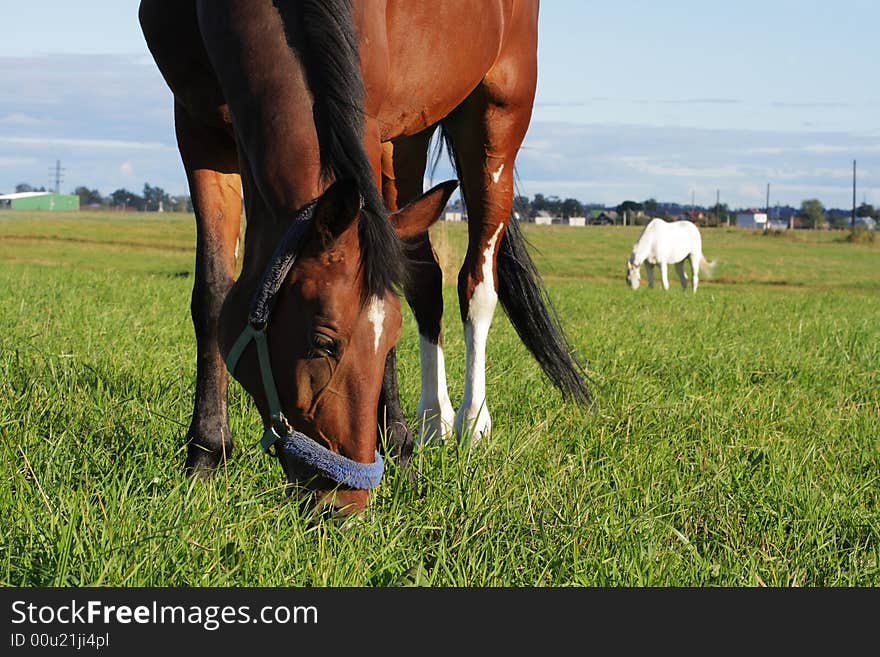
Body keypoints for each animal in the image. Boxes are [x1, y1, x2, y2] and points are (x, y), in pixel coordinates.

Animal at [139, 0, 592, 512]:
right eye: (322, 342)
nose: (347, 503)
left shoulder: (369, 126)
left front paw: (400, 452)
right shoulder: (198, 127)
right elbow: (213, 294)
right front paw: (205, 458)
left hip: (496, 120)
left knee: (476, 285)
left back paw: (471, 424)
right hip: (410, 138)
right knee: (425, 279)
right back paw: (433, 421)